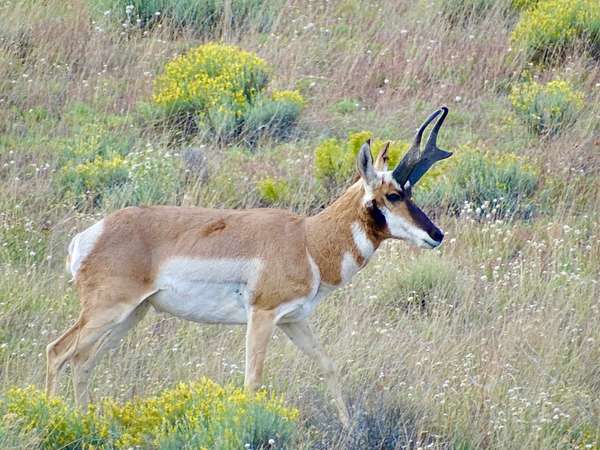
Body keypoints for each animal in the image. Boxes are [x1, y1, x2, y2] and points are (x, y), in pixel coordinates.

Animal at [45, 106, 452, 427]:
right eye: (393, 195)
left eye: (410, 192)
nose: (437, 234)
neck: (306, 238)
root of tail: (90, 235)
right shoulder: (263, 316)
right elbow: (252, 380)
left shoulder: (294, 321)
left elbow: (329, 366)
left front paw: (350, 430)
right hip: (108, 311)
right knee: (58, 351)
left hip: (132, 314)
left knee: (82, 361)